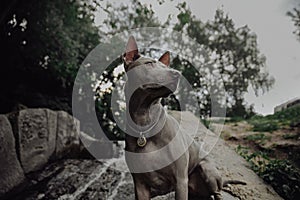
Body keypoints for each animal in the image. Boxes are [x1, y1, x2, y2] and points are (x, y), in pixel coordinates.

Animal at [123, 36, 245, 200]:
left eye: (165, 66)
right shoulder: (140, 186)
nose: (177, 73)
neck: (144, 122)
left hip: (207, 171)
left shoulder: (180, 180)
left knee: (217, 193)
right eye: (149, 63)